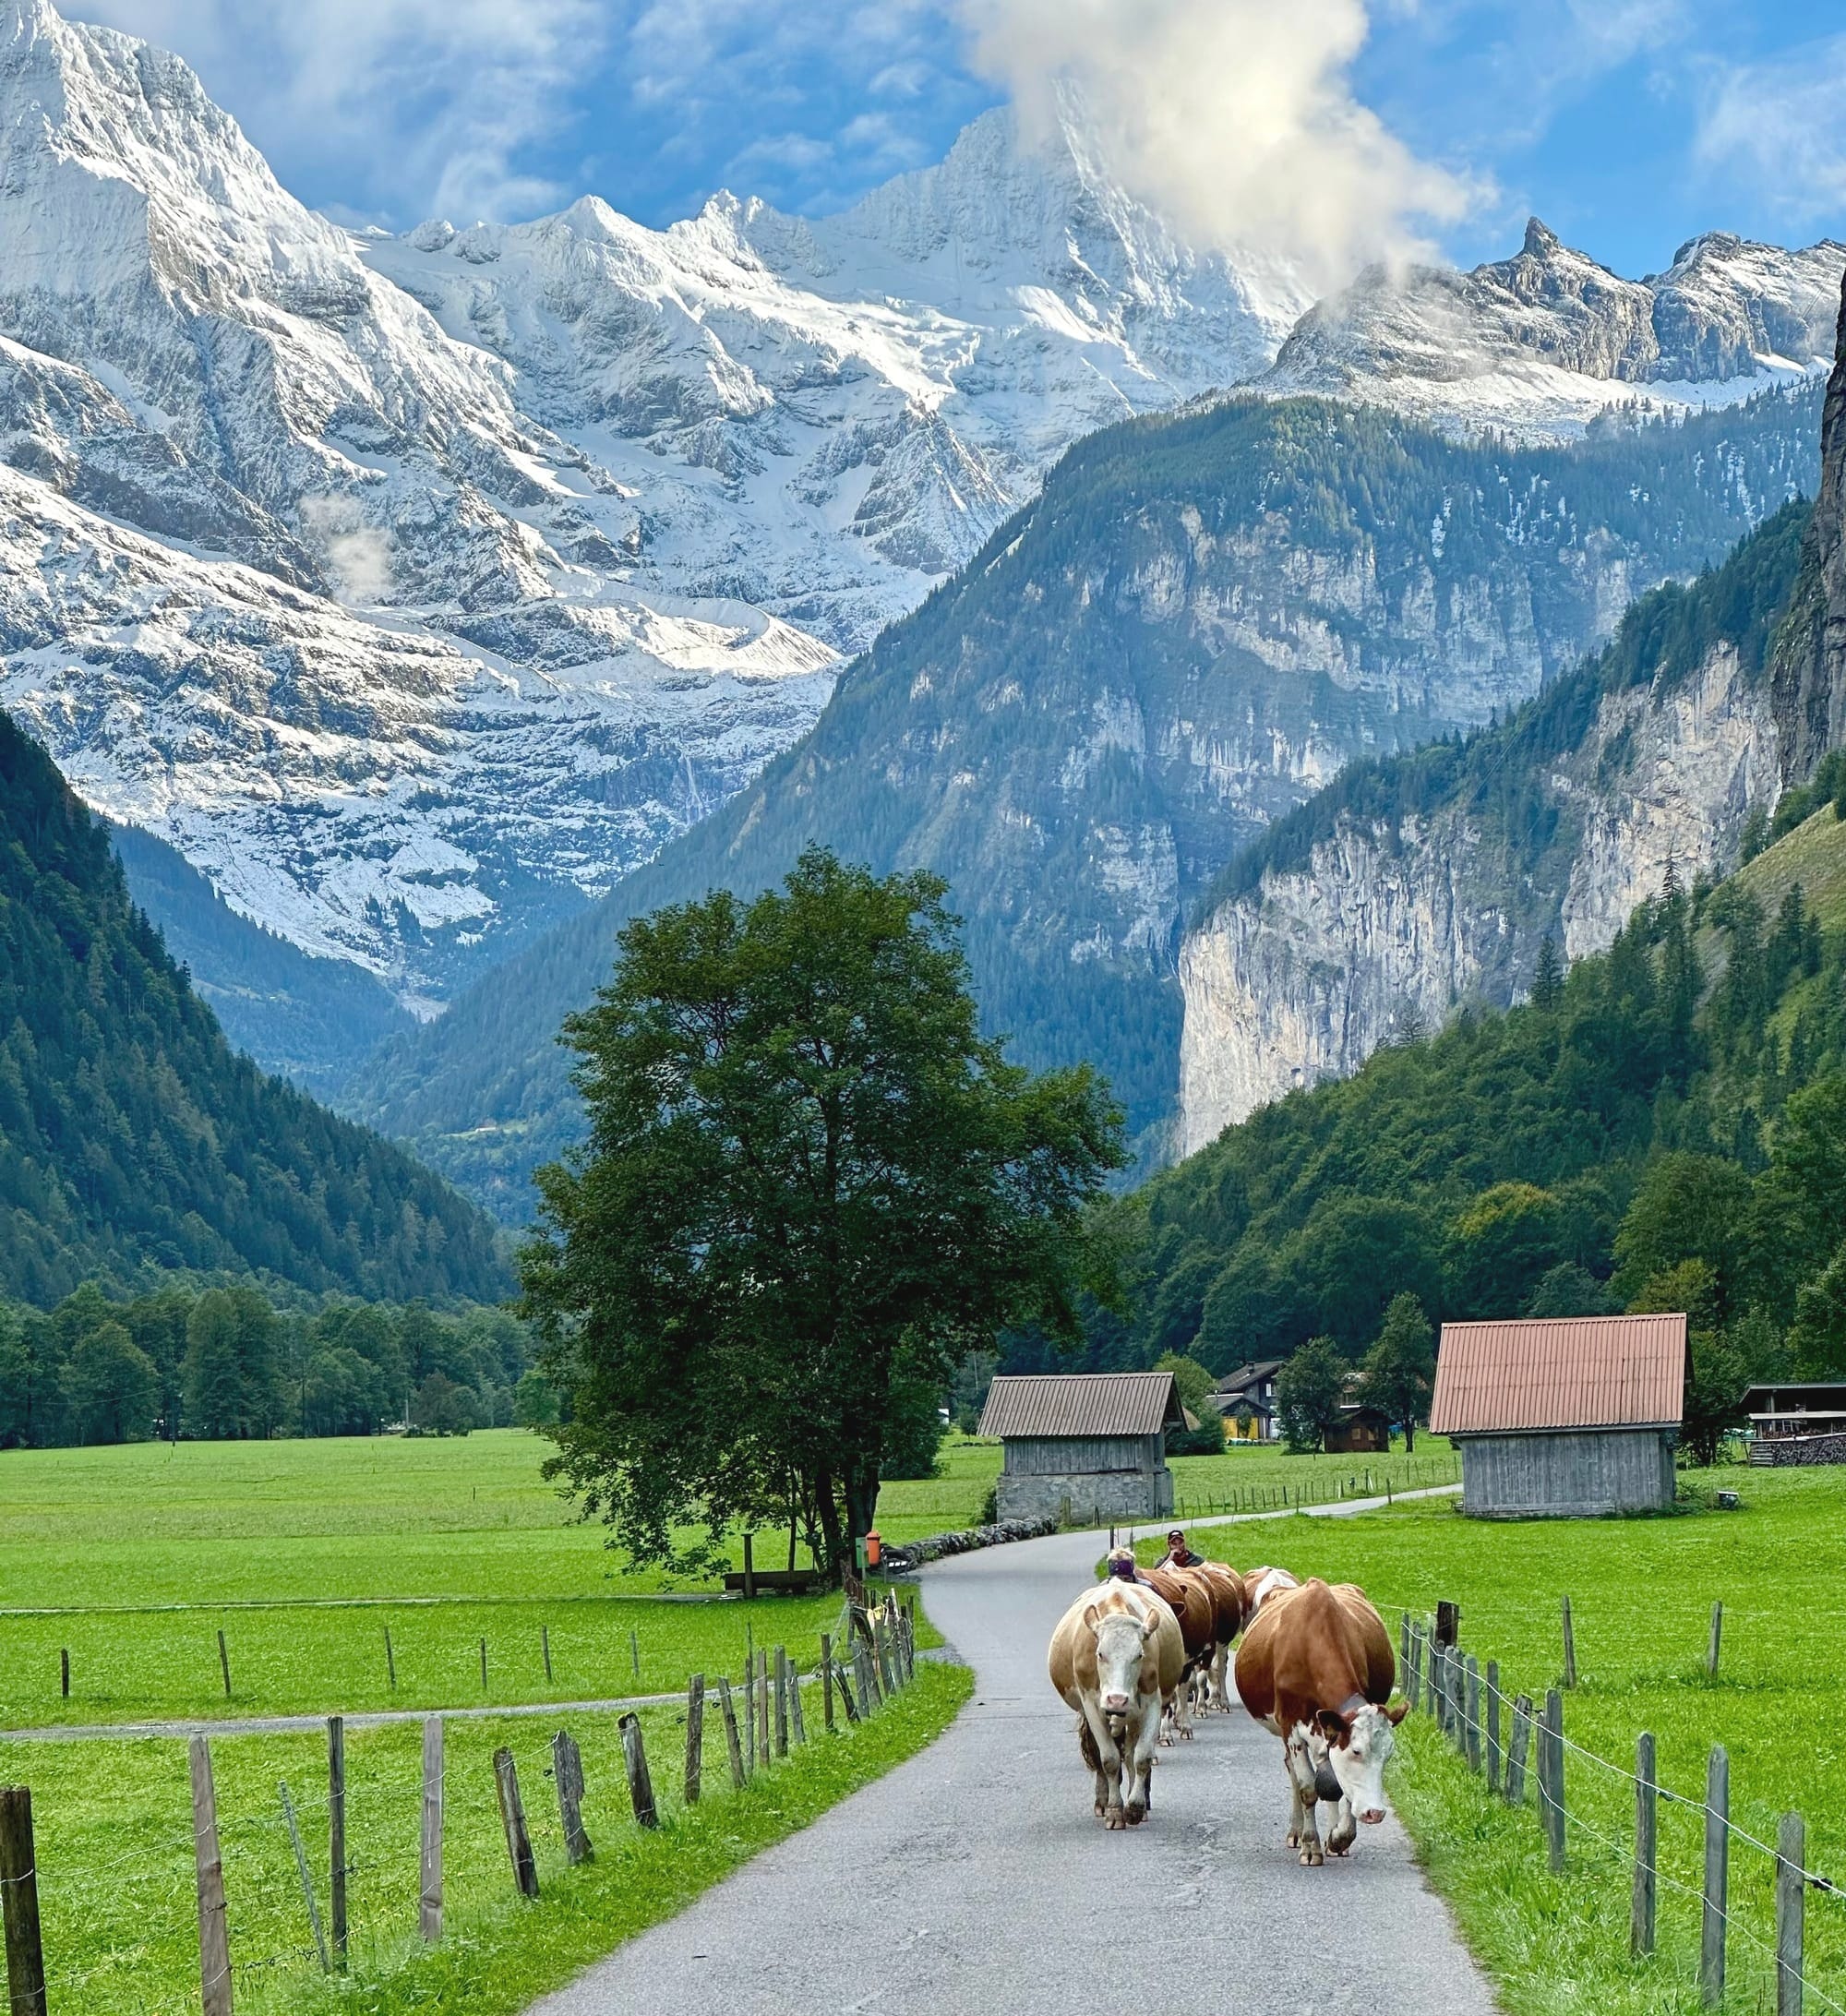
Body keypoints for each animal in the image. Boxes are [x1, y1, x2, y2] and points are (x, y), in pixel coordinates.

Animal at [1056, 1580, 1184, 1838]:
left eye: (1139, 1655)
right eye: (1100, 1654)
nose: (1117, 1700)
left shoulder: (1152, 1702)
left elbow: (1141, 1757)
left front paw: (1134, 1808)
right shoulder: (1092, 1705)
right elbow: (1108, 1760)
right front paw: (1114, 1811)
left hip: (1133, 1716)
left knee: (1130, 1753)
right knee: (1099, 1755)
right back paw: (1102, 1801)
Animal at [1241, 1572, 1410, 1870]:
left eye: (1388, 1756)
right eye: (1356, 1751)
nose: (1375, 1812)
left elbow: (1336, 1786)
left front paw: (1340, 1837)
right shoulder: (1291, 1726)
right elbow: (1309, 1788)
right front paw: (1311, 1846)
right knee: (1293, 1772)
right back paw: (1297, 1832)